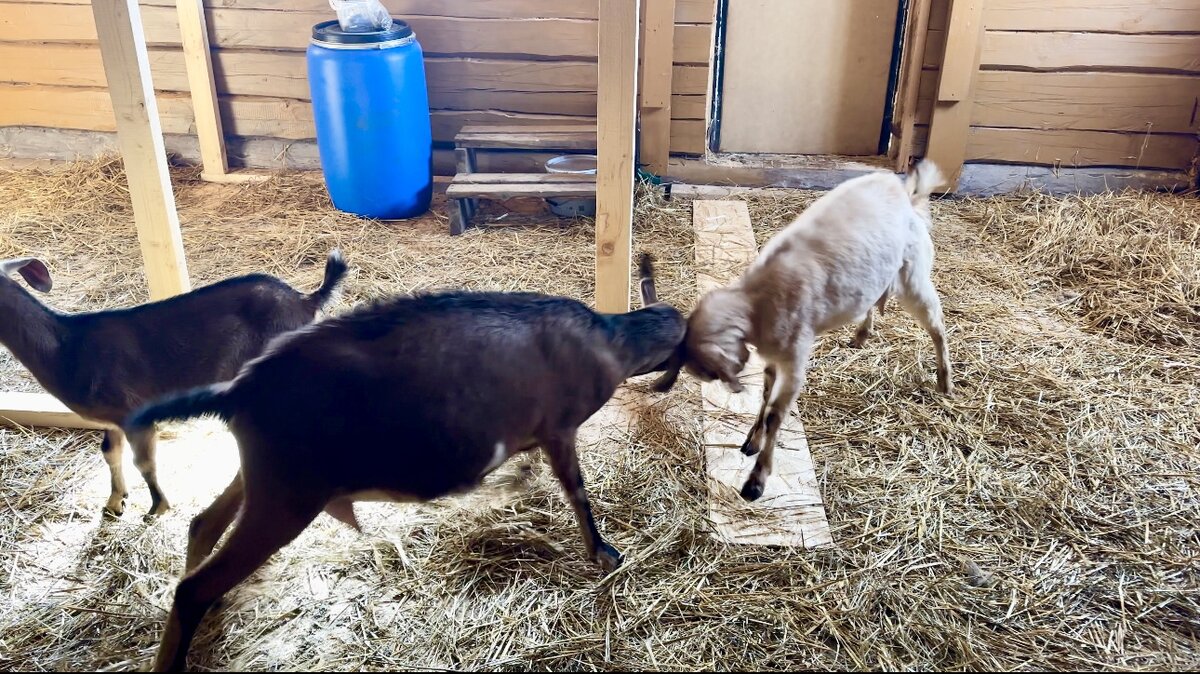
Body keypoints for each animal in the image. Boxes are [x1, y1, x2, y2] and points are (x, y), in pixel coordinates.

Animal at [0, 249, 348, 515]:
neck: (67, 349)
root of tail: (306, 300)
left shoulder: (132, 410)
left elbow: (144, 461)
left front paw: (158, 508)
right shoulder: (111, 417)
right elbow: (110, 452)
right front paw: (115, 503)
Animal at [657, 158, 955, 498]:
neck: (757, 303)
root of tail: (909, 196)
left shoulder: (795, 356)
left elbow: (775, 414)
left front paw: (756, 480)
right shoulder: (774, 356)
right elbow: (765, 395)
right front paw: (751, 441)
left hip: (914, 277)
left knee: (937, 324)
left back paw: (945, 381)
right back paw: (862, 335)